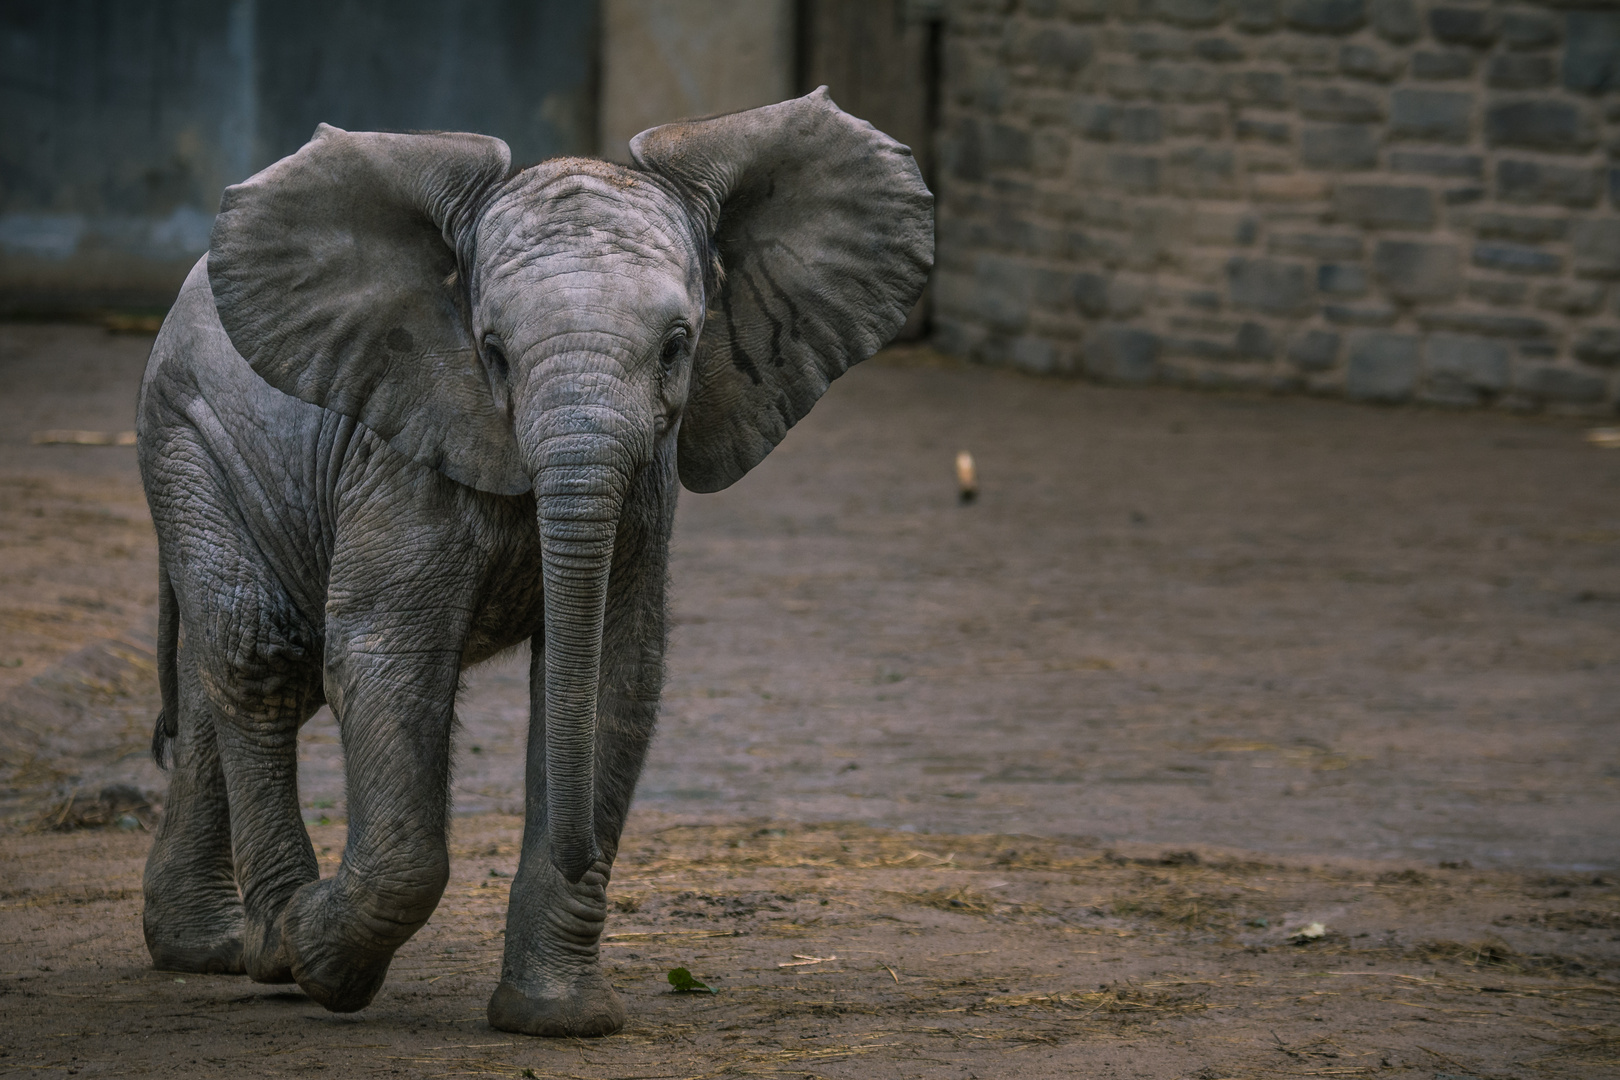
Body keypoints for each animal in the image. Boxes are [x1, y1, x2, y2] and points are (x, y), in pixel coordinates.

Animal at [136, 93, 939, 1036]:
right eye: (492, 352)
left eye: (678, 346)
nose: (579, 847)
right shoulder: (400, 454)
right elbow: (388, 658)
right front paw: (324, 964)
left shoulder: (644, 489)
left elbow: (608, 678)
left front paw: (557, 1021)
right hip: (184, 433)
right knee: (261, 654)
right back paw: (272, 947)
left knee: (222, 665)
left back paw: (212, 948)